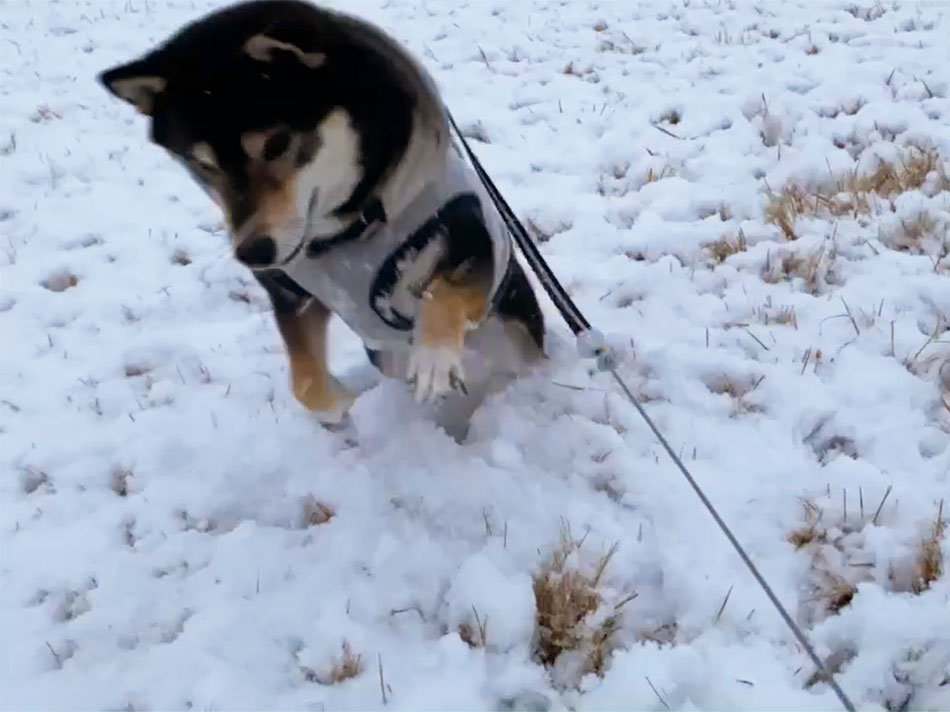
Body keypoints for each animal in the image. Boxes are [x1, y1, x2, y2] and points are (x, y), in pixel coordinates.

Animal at [99, 0, 548, 434]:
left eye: (277, 144)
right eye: (202, 165)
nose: (252, 253)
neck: (346, 232)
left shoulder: (468, 234)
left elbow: (448, 290)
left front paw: (434, 356)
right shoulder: (289, 293)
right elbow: (305, 383)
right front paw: (338, 405)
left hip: (516, 325)